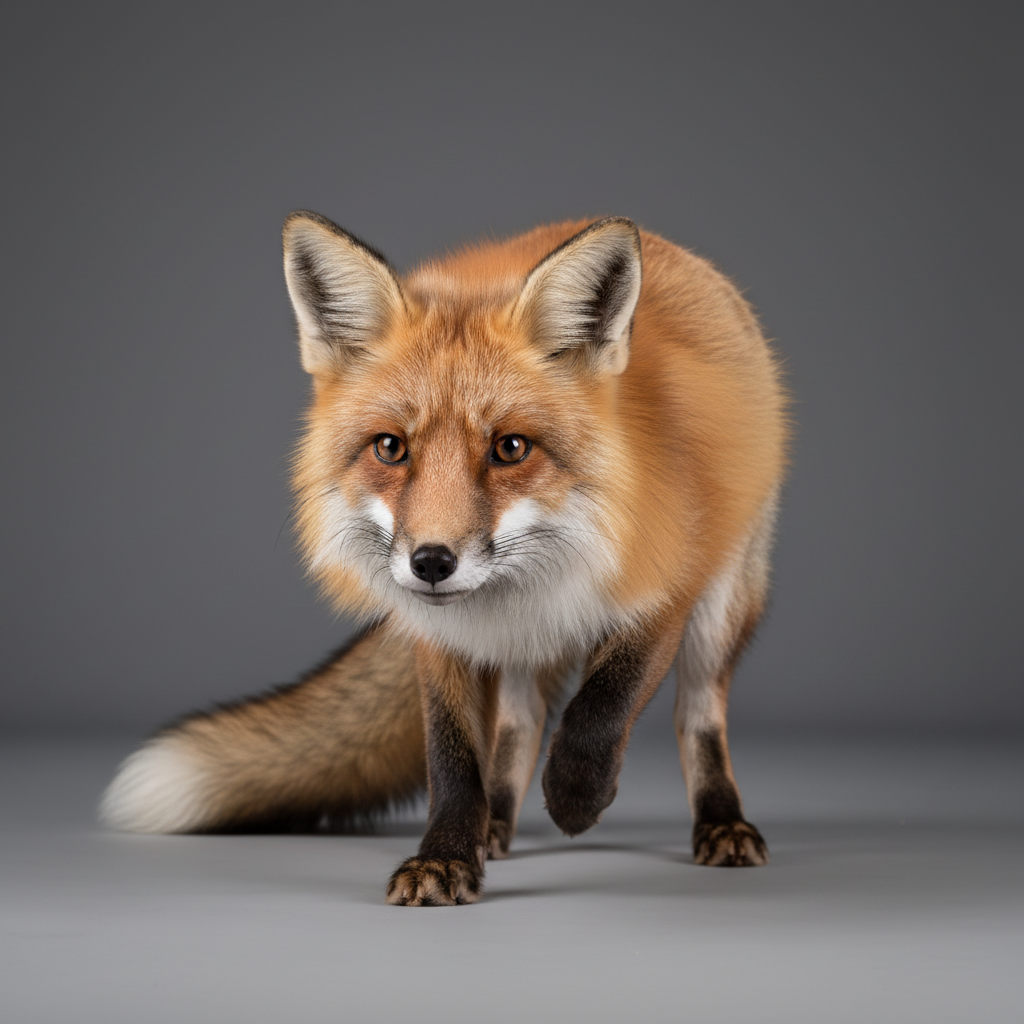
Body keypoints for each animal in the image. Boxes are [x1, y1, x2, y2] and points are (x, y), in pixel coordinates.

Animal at [101, 213, 788, 906]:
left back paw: (721, 823)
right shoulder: (437, 635)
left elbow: (602, 704)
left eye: (511, 448)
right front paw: (447, 857)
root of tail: (681, 254)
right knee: (520, 722)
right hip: (521, 650)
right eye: (390, 448)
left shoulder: (666, 590)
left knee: (697, 716)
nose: (431, 562)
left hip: (723, 605)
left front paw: (574, 798)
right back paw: (496, 824)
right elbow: (453, 756)